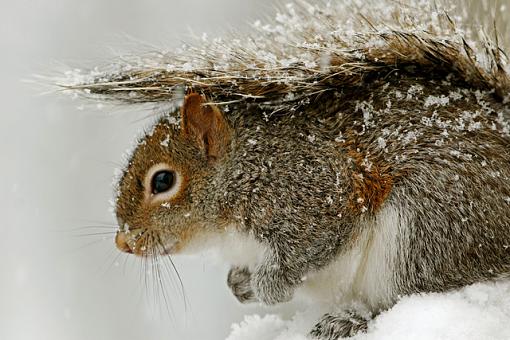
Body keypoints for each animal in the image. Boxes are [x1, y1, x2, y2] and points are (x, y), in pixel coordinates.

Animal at [60, 0, 510, 340]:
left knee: (410, 292)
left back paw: (348, 319)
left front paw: (268, 286)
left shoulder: (314, 192)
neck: (244, 172)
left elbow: (310, 248)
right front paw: (239, 283)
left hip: (425, 224)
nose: (124, 241)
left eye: (163, 180)